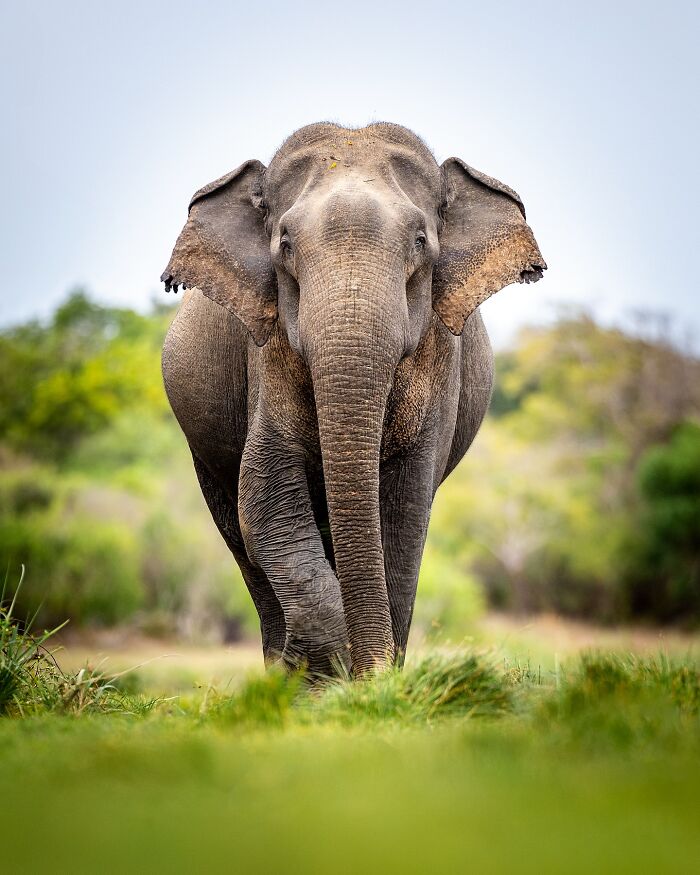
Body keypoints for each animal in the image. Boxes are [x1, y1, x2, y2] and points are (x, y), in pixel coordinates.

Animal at [161, 123, 544, 676]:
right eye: (286, 244)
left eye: (420, 242)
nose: (370, 672)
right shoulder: (266, 349)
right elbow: (264, 500)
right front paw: (325, 675)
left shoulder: (440, 360)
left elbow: (405, 512)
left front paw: (369, 679)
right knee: (240, 538)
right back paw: (282, 673)